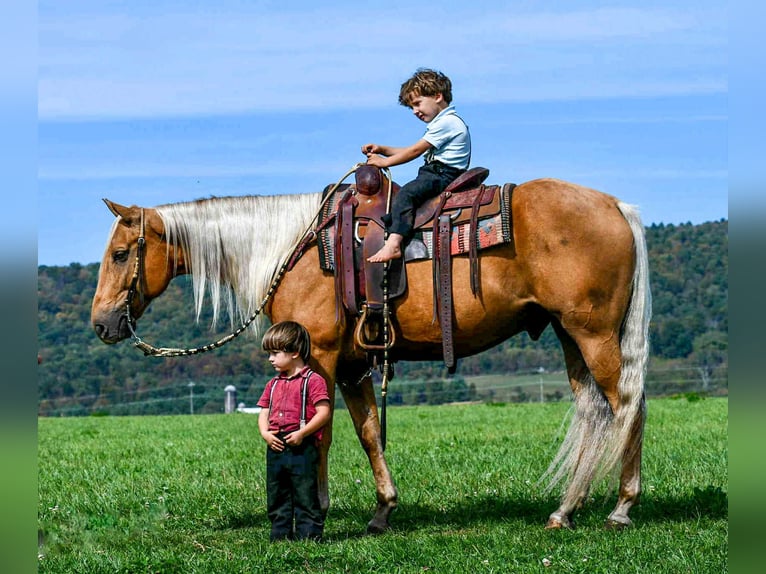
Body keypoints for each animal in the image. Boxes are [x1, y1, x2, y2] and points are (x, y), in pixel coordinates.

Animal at [91, 176, 651, 532]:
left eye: (120, 254)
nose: (101, 324)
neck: (290, 248)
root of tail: (616, 206)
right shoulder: (355, 365)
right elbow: (368, 434)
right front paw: (383, 510)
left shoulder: (317, 356)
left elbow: (318, 433)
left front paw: (316, 511)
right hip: (568, 335)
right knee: (595, 412)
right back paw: (565, 510)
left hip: (594, 333)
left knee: (628, 406)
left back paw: (621, 508)